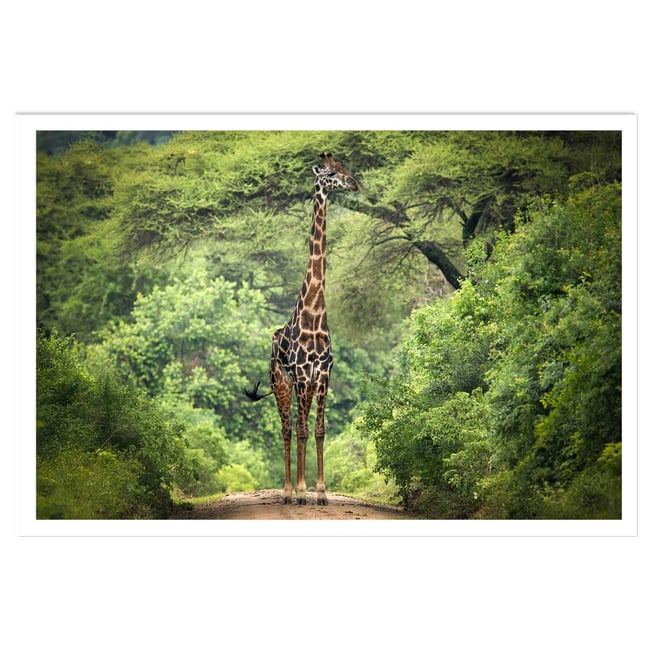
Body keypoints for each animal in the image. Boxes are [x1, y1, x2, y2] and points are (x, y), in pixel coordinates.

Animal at [244, 153, 360, 505]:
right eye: (330, 174)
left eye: (344, 167)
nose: (355, 183)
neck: (315, 313)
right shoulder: (298, 374)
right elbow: (300, 429)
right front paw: (301, 491)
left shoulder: (323, 372)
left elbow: (318, 429)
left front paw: (319, 492)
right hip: (281, 383)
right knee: (287, 428)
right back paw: (287, 491)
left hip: (303, 385)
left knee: (301, 426)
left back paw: (300, 489)